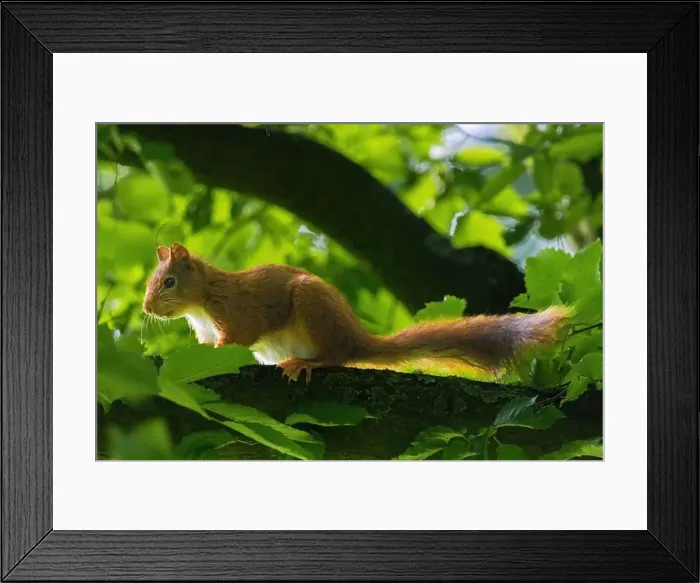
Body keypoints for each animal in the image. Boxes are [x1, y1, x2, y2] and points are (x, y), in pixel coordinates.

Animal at [142, 243, 571, 382]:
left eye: (169, 283)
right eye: (151, 280)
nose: (146, 306)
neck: (203, 300)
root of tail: (357, 338)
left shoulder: (237, 313)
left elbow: (239, 338)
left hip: (314, 309)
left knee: (338, 357)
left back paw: (307, 362)